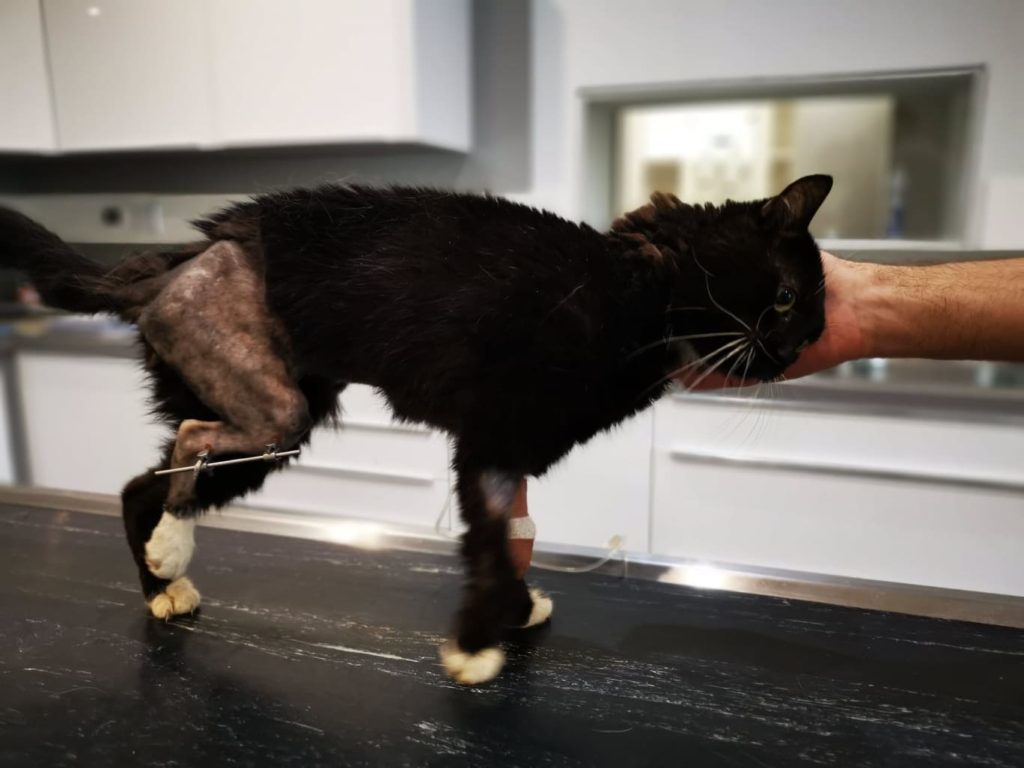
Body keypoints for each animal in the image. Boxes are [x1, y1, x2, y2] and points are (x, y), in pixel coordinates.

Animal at [0, 174, 831, 684]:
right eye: (788, 298)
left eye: (813, 315)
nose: (800, 347)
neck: (649, 288)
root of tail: (184, 251)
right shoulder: (491, 440)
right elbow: (491, 544)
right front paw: (477, 647)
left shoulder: (509, 453)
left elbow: (513, 537)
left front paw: (512, 613)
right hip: (268, 397)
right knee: (191, 442)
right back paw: (171, 552)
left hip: (273, 417)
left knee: (142, 481)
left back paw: (162, 583)